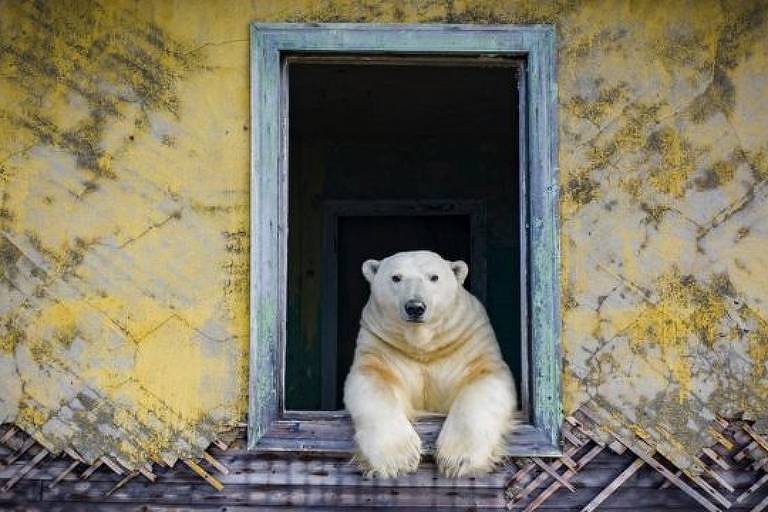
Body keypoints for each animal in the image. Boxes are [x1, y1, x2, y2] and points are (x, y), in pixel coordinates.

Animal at [344, 250, 520, 478]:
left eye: (434, 277)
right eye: (396, 277)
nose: (415, 307)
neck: (424, 346)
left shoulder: (468, 340)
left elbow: (484, 379)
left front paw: (458, 459)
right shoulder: (381, 345)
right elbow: (373, 379)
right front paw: (398, 459)